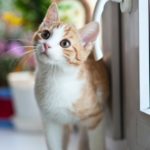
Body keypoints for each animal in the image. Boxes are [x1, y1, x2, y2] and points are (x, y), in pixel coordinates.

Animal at [33, 2, 109, 150]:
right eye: (45, 34)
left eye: (65, 43)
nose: (46, 45)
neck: (55, 77)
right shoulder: (50, 121)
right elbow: (54, 144)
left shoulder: (95, 117)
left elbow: (96, 143)